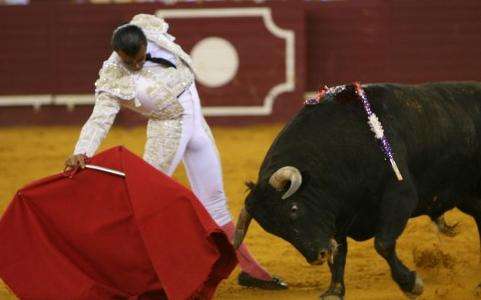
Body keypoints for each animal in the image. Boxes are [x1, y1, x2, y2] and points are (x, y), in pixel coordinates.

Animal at [232, 81, 481, 298]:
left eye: (294, 209)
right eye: (276, 230)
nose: (318, 256)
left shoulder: (400, 197)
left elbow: (382, 244)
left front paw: (411, 284)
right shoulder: (338, 216)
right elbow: (340, 254)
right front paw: (334, 291)